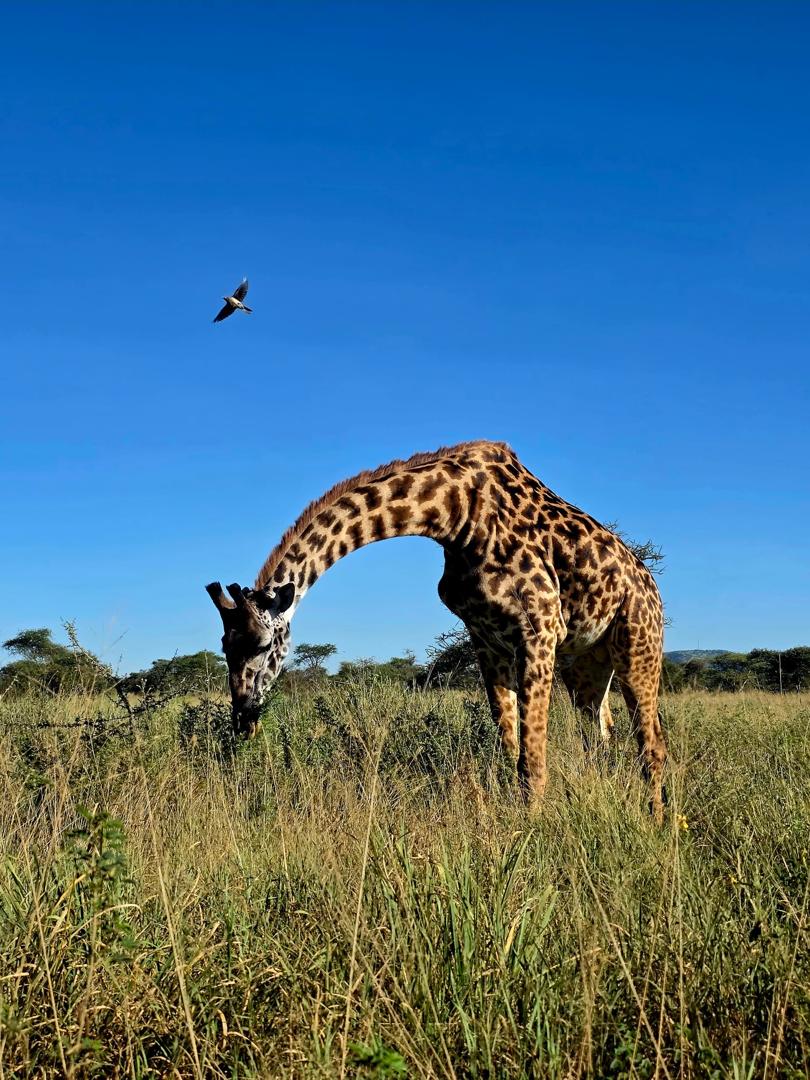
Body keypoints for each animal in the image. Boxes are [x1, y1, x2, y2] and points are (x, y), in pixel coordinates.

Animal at [206, 441, 668, 820]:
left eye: (263, 644)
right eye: (224, 646)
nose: (243, 719)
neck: (453, 513)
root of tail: (651, 586)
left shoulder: (539, 627)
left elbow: (531, 760)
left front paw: (534, 834)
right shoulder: (485, 639)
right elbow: (508, 747)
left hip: (637, 649)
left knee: (653, 746)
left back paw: (658, 824)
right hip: (586, 665)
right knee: (602, 741)